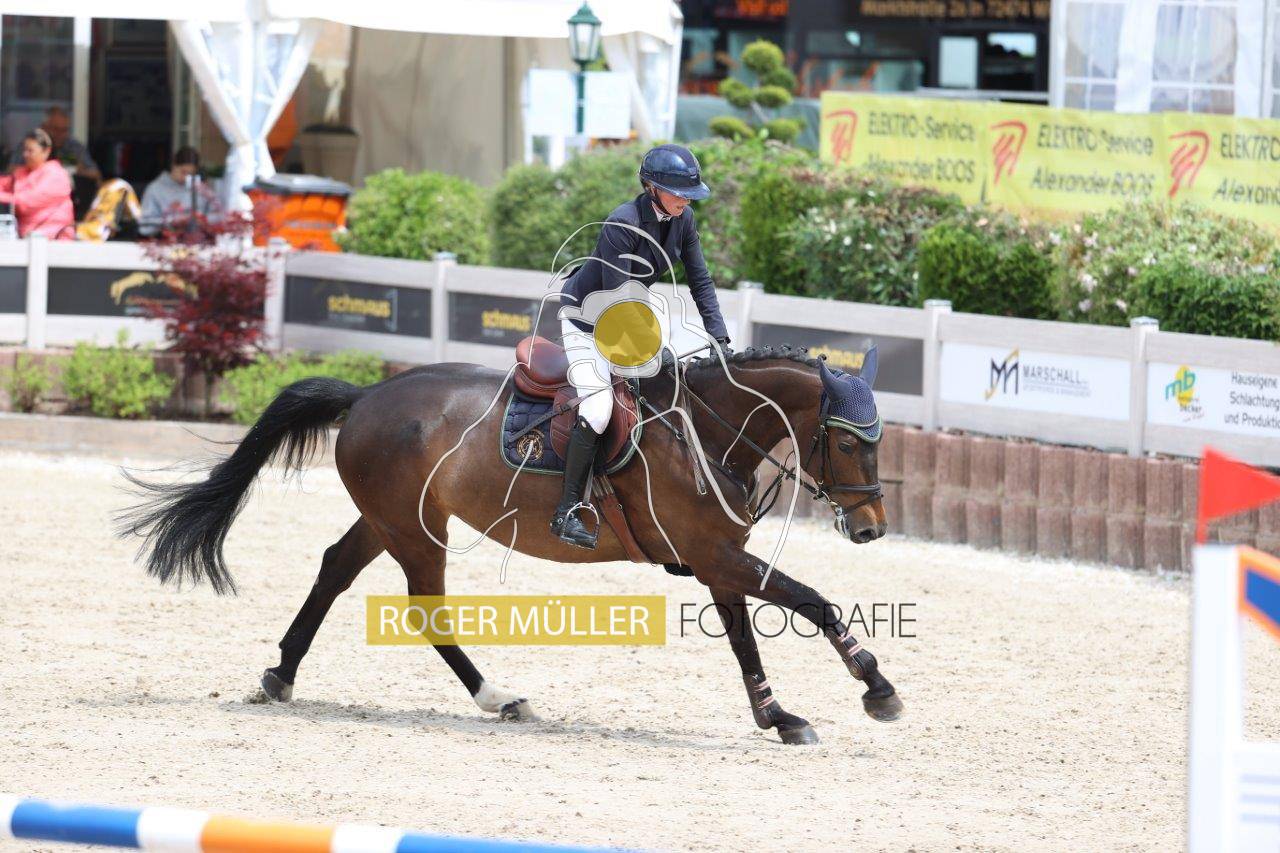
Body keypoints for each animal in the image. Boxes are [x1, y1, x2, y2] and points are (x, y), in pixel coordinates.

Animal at [116, 344, 903, 745]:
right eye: (846, 442)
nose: (872, 527)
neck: (707, 430)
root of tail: (366, 395)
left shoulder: (718, 561)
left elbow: (746, 640)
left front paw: (777, 716)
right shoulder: (716, 555)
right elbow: (814, 602)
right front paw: (877, 689)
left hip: (391, 518)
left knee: (335, 571)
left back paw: (281, 673)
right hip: (414, 528)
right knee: (424, 606)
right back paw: (496, 696)